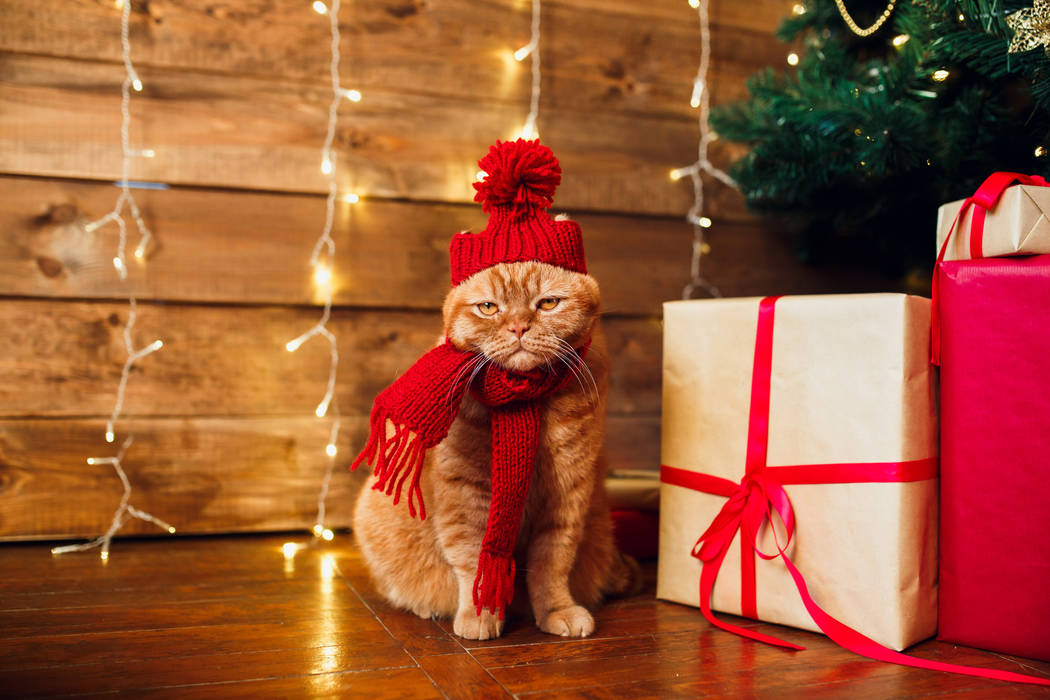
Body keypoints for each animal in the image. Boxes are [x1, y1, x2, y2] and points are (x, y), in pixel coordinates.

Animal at [352, 259, 634, 642]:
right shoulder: (465, 492)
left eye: (548, 303)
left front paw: (557, 609)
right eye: (488, 307)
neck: (529, 400)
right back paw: (426, 607)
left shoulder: (568, 491)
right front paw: (480, 613)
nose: (518, 326)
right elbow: (474, 559)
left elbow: (553, 562)